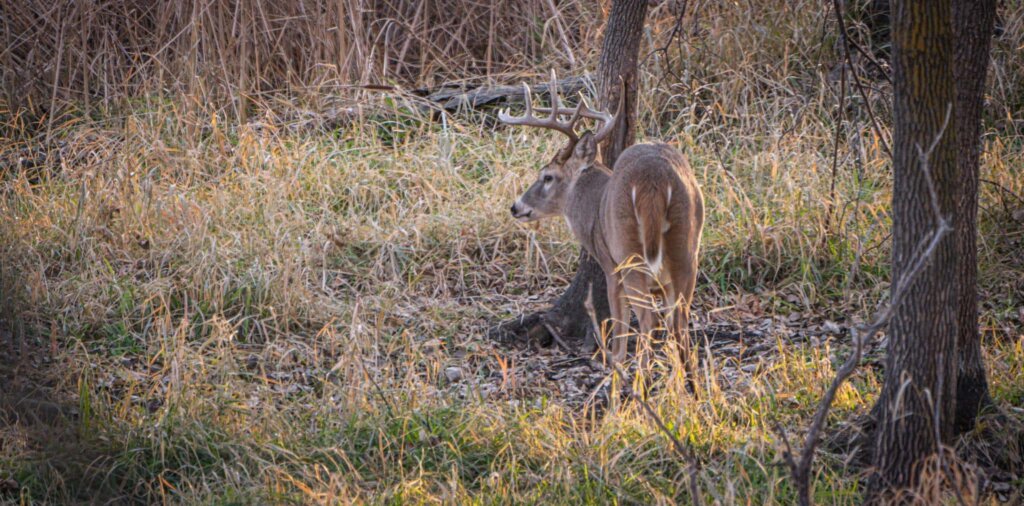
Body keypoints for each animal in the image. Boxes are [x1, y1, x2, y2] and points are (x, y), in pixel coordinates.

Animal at [500, 75, 704, 373]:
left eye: (547, 176)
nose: (516, 206)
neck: (594, 204)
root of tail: (654, 180)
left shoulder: (609, 265)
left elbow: (620, 320)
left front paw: (615, 361)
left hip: (629, 252)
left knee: (649, 319)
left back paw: (637, 377)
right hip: (687, 249)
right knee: (680, 320)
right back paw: (689, 381)